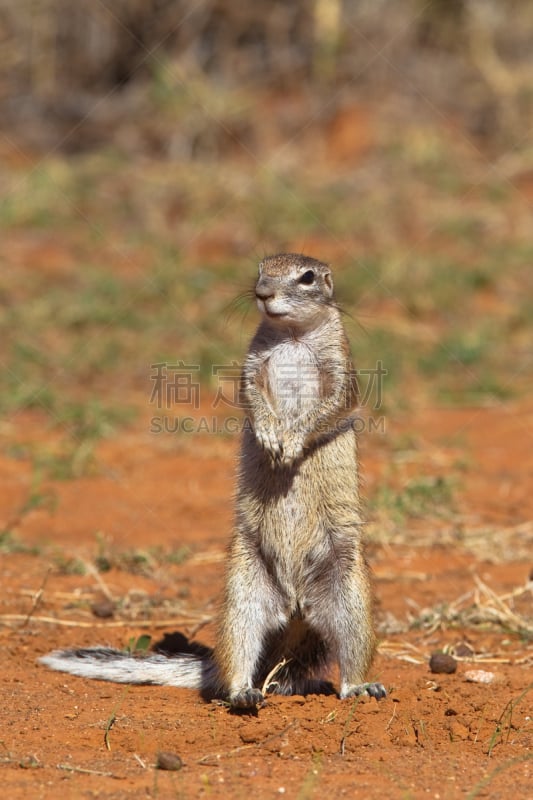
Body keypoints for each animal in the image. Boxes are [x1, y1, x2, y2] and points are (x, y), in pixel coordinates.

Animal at [39, 253, 384, 708]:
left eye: (308, 277)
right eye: (261, 269)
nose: (262, 293)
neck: (292, 335)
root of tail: (295, 607)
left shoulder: (340, 367)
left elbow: (330, 405)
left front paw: (290, 441)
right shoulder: (252, 364)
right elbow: (251, 395)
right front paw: (269, 436)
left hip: (351, 599)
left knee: (351, 658)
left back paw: (362, 687)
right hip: (242, 595)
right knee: (240, 655)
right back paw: (243, 693)